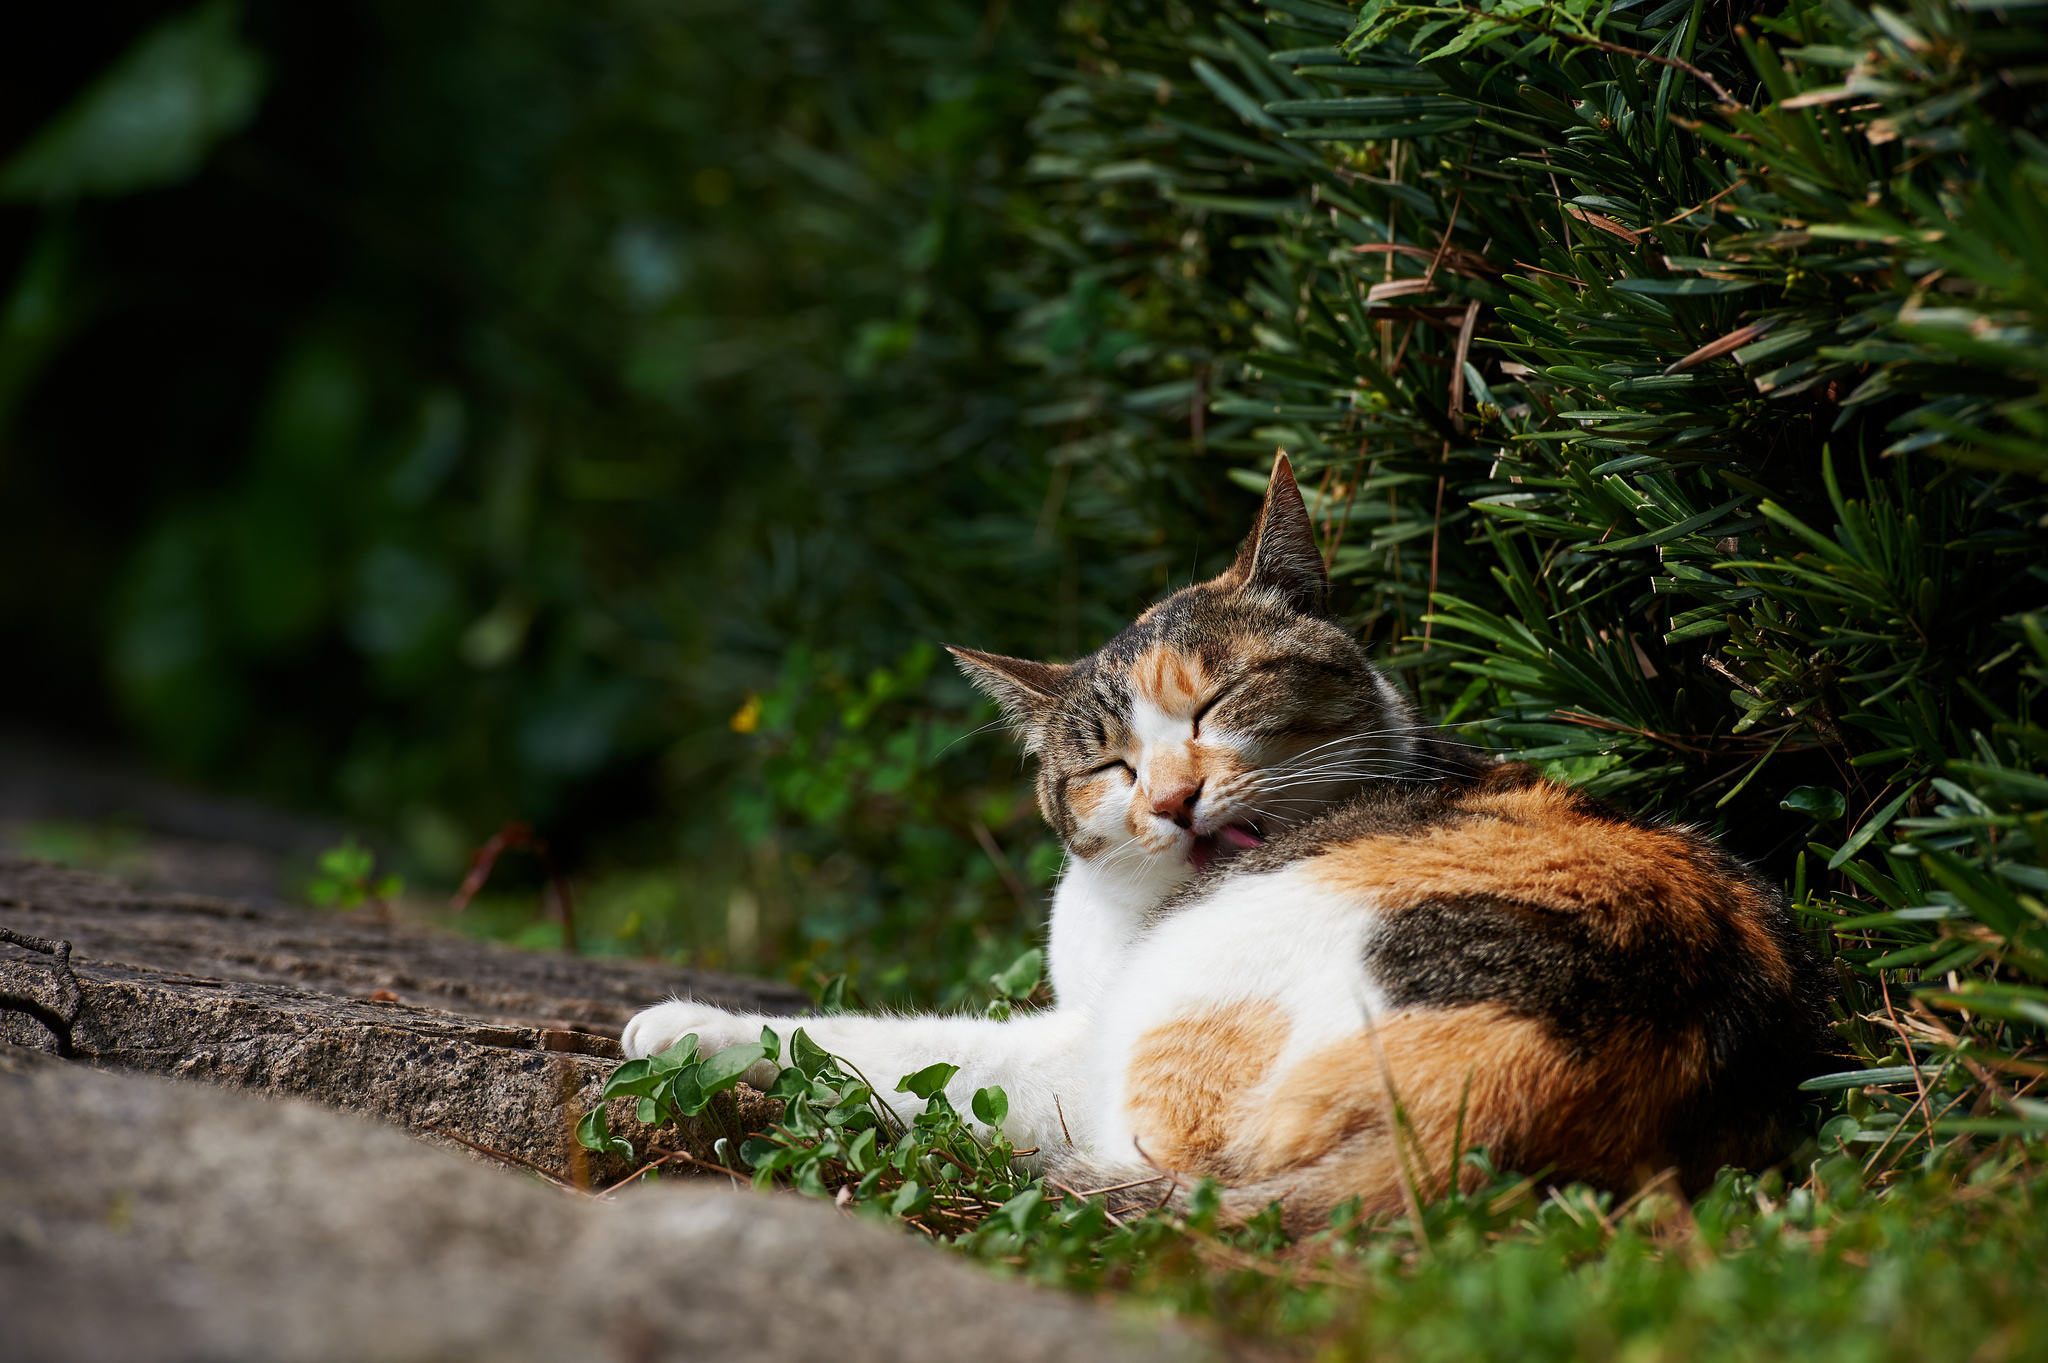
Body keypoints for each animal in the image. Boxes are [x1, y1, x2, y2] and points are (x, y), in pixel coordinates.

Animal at [622, 454, 1826, 1219]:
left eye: (1216, 702)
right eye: (1108, 763)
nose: (1169, 797)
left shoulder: (1086, 1040)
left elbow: (888, 1044)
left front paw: (678, 1026)